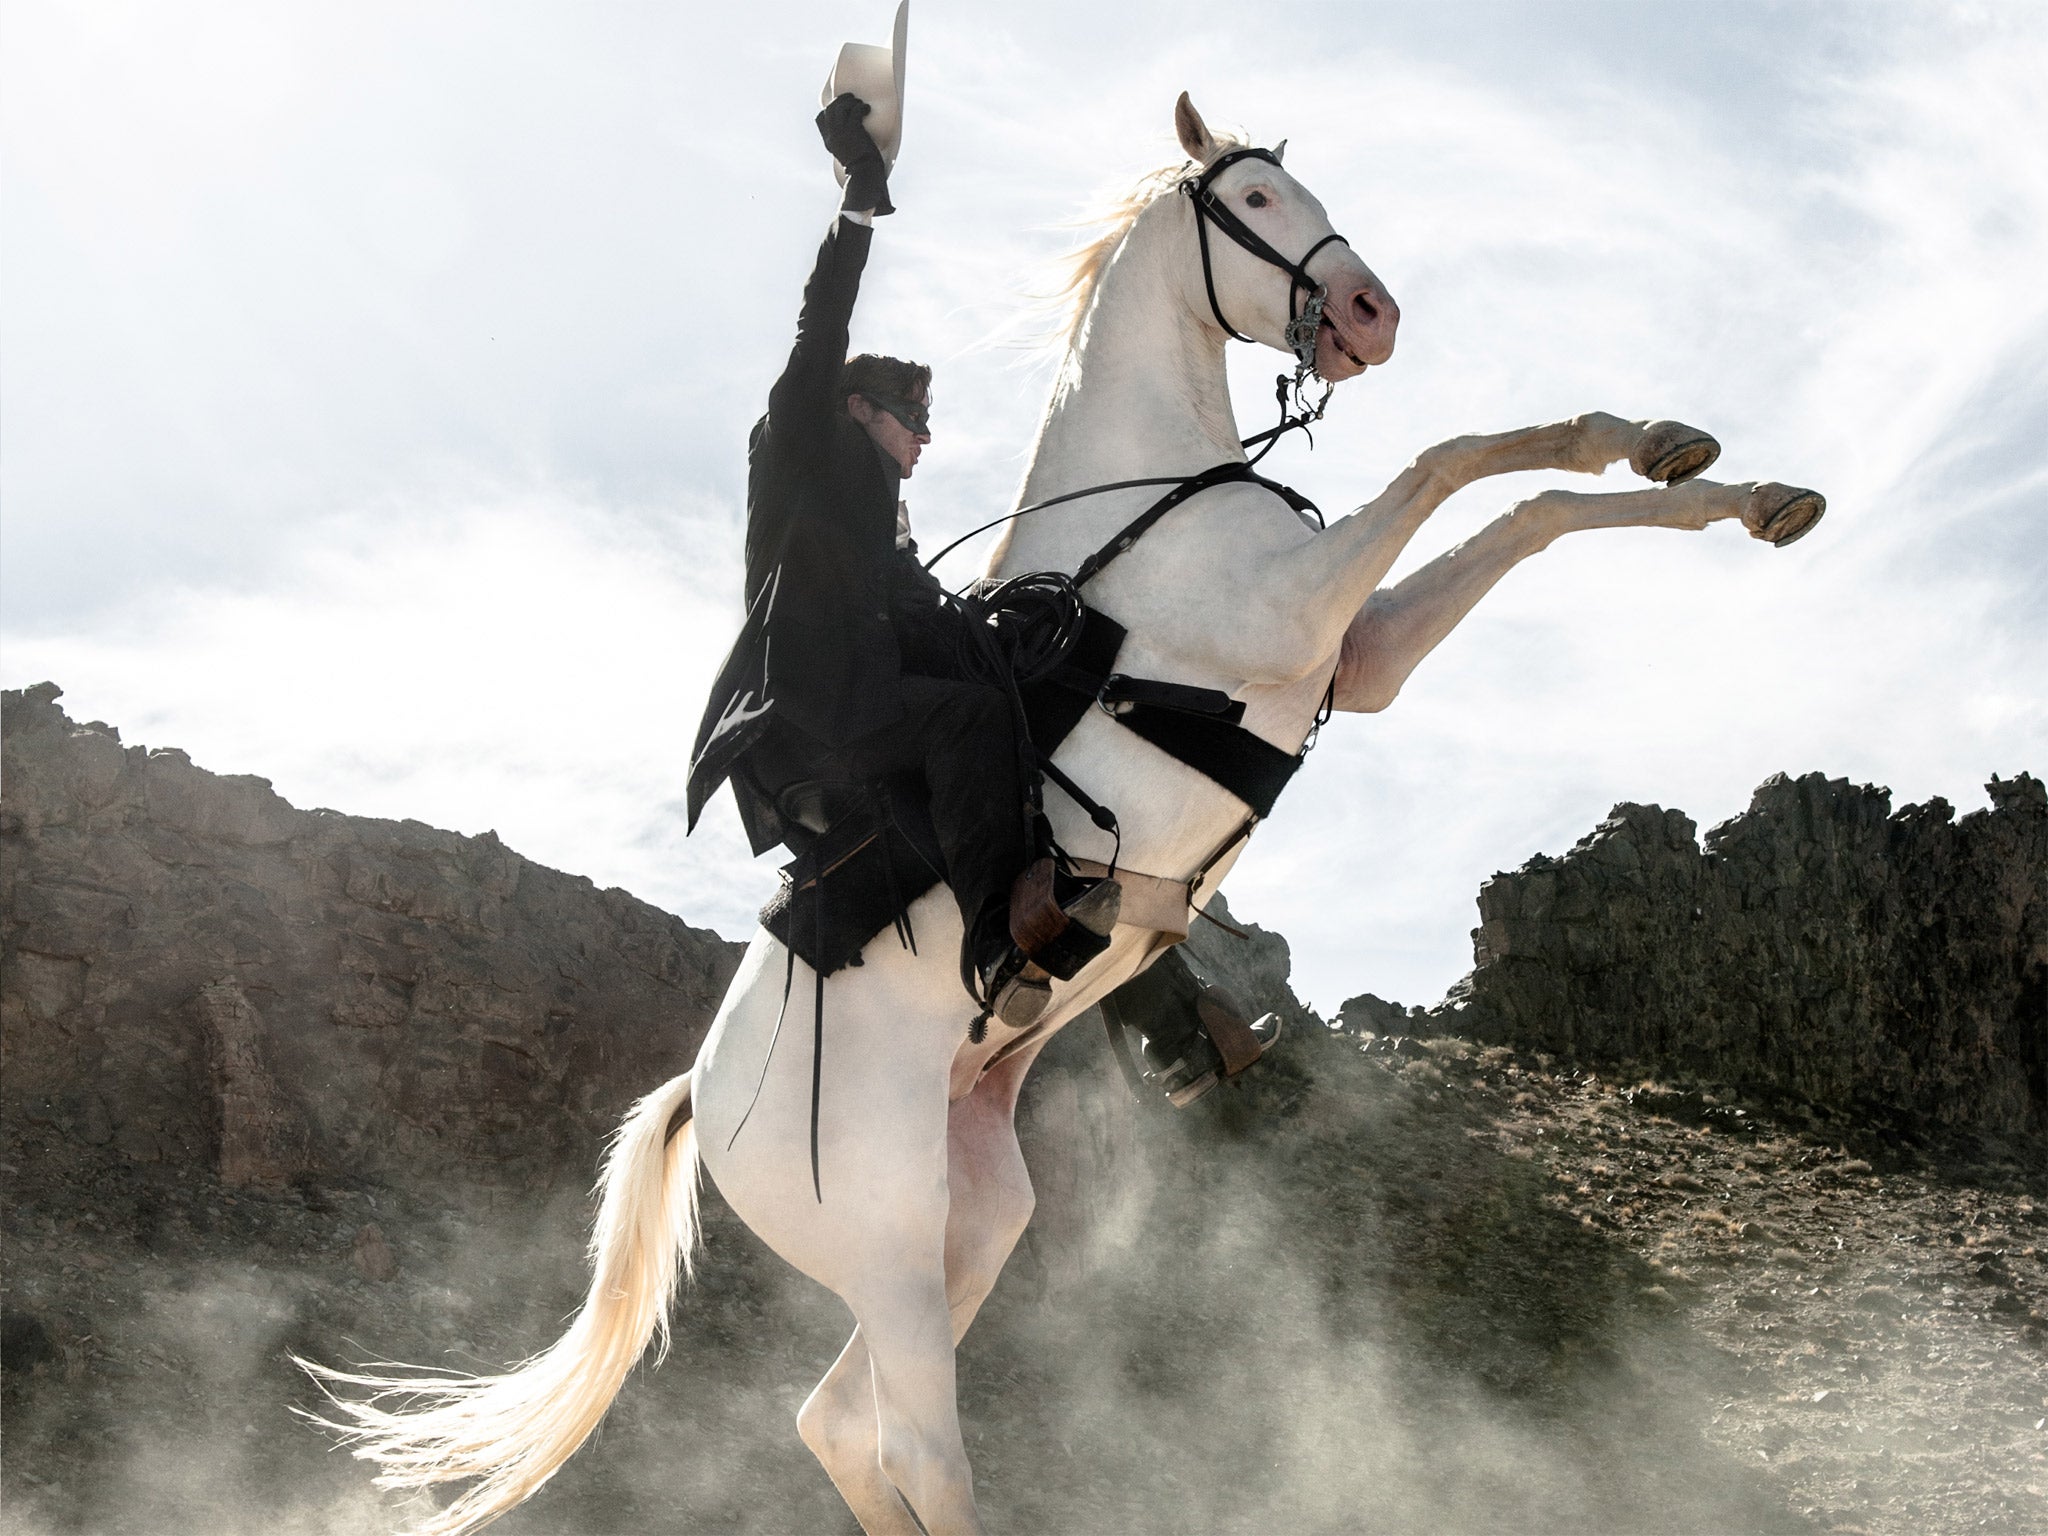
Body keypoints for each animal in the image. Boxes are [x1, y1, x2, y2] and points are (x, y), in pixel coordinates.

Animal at [303, 93, 1826, 1531]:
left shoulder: (1361, 655)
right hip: (890, 1240)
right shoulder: (1300, 612)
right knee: (915, 1445)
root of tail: (706, 1093)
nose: (1370, 315)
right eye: (1255, 199)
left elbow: (1530, 505)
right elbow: (1459, 460)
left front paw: (1723, 477)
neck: (1159, 496)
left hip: (969, 1219)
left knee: (835, 1423)